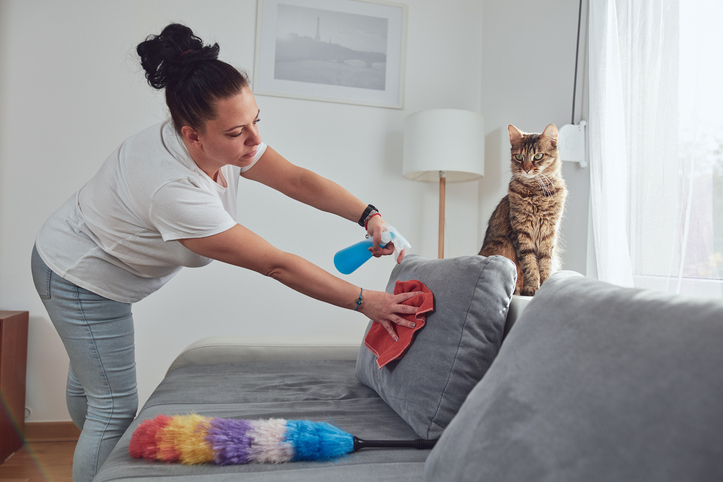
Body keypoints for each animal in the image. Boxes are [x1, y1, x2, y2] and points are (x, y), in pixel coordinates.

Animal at [480, 124, 564, 296]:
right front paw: (531, 288)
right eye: (519, 157)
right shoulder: (521, 232)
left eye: (538, 156)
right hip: (501, 242)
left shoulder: (549, 233)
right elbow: (530, 265)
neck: (537, 192)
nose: (526, 169)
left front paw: (544, 285)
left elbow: (545, 263)